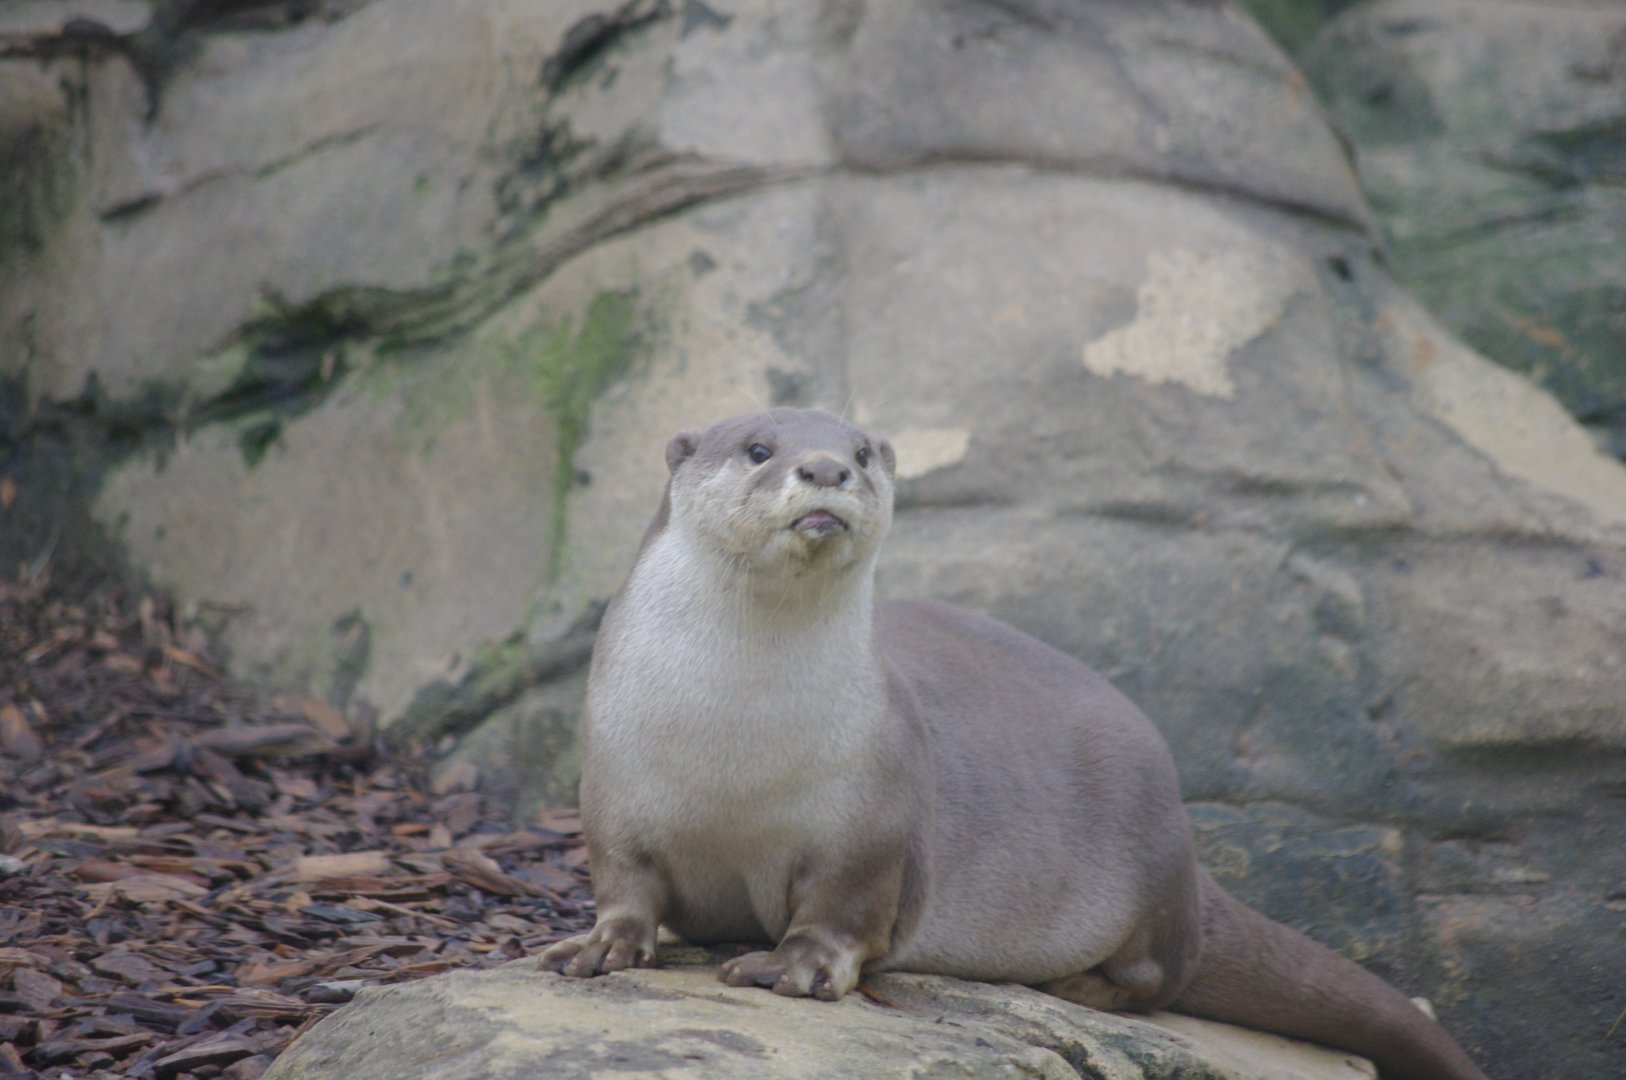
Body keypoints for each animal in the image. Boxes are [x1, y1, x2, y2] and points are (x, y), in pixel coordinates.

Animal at [541, 408, 1487, 1080]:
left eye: (863, 451)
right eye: (759, 447)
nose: (827, 469)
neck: (735, 745)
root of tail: (1188, 850)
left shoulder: (873, 820)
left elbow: (843, 911)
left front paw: (795, 970)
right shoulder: (613, 790)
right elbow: (623, 884)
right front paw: (598, 947)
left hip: (1147, 867)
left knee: (1163, 975)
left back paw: (1070, 985)